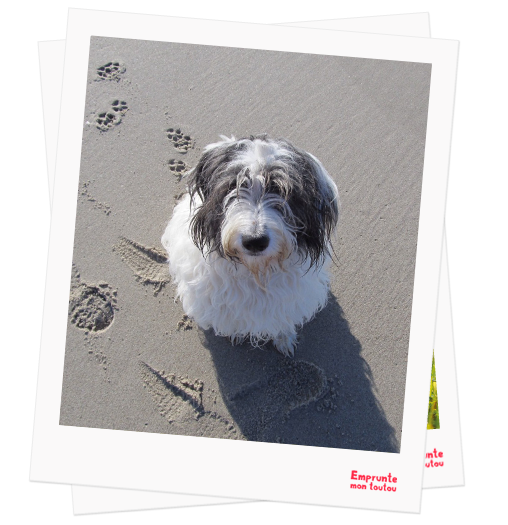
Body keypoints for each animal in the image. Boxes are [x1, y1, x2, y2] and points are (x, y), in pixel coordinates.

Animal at [161, 135, 340, 356]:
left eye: (281, 190)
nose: (254, 241)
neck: (257, 272)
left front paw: (284, 338)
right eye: (232, 186)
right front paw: (236, 334)